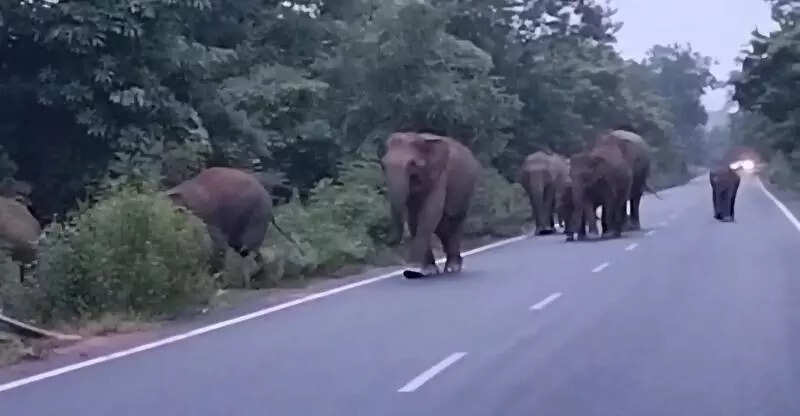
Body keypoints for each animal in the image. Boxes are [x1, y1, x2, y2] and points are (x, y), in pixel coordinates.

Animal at [166, 167, 297, 287]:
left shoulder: (210, 214)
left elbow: (218, 243)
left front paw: (217, 283)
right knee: (244, 249)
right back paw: (258, 278)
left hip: (257, 216)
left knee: (246, 249)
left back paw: (251, 281)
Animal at [381, 132, 480, 278]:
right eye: (383, 165)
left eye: (412, 163)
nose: (390, 241)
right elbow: (414, 218)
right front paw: (428, 270)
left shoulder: (440, 176)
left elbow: (429, 213)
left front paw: (422, 268)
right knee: (443, 227)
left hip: (467, 191)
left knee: (455, 221)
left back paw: (453, 267)